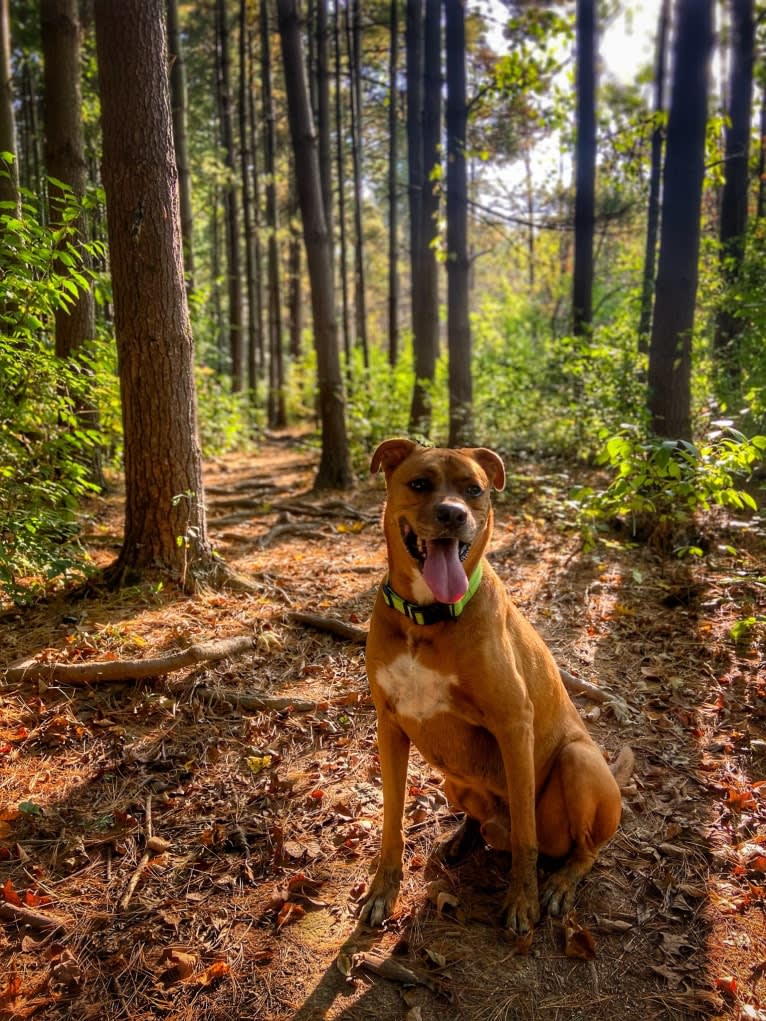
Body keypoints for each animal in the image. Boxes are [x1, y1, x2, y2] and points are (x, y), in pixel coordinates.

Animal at [363, 439, 633, 935]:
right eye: (420, 483)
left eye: (474, 489)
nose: (452, 514)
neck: (426, 620)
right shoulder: (389, 726)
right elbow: (392, 820)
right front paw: (382, 890)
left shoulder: (513, 725)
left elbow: (526, 834)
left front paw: (522, 900)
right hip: (453, 779)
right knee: (478, 816)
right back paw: (463, 837)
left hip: (580, 761)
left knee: (582, 849)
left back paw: (560, 882)